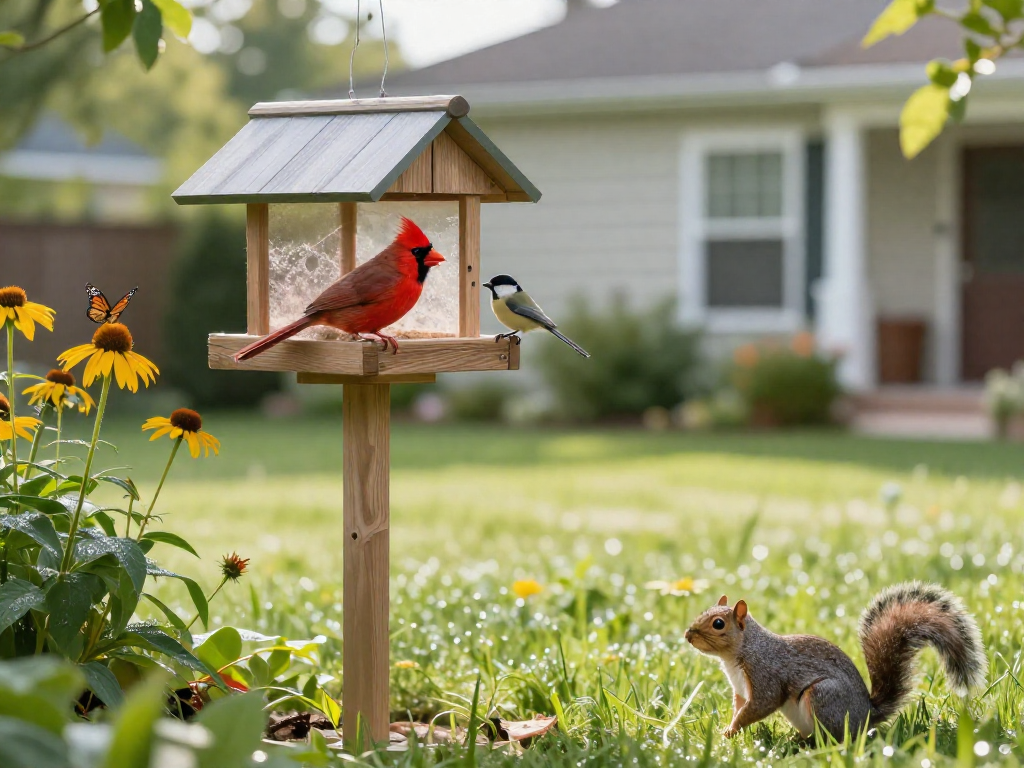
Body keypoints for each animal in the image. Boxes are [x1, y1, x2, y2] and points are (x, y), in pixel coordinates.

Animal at [684, 582, 986, 740]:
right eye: (704, 610)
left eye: (719, 623)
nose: (688, 635)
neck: (741, 653)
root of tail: (867, 715)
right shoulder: (740, 689)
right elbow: (740, 707)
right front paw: (729, 727)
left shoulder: (766, 675)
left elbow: (761, 705)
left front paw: (730, 731)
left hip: (823, 697)